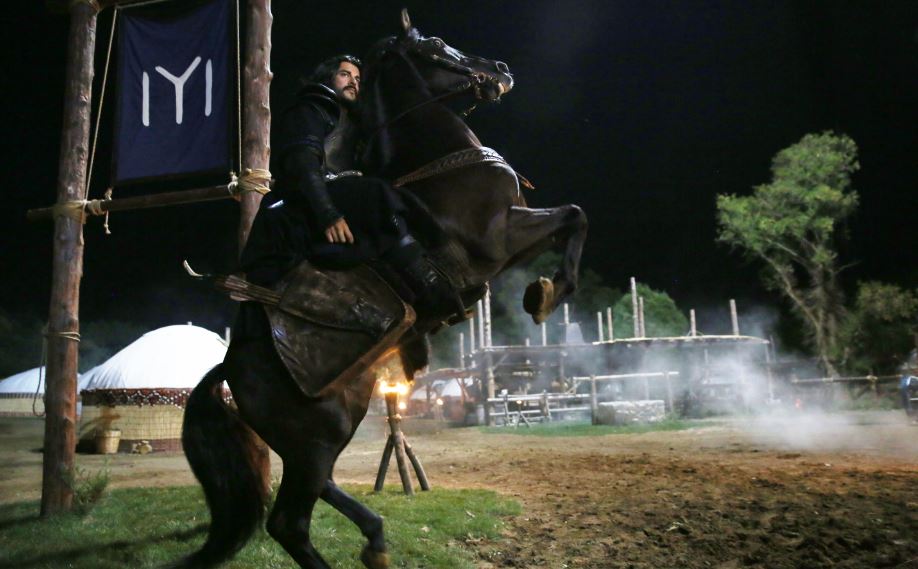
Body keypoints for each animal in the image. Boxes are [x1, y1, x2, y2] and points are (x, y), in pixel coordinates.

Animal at [174, 10, 588, 568]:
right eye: (436, 43)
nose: (499, 70)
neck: (439, 160)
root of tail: (231, 369)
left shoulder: (511, 241)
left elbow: (571, 220)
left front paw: (543, 291)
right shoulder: (499, 236)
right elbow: (574, 215)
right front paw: (547, 293)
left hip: (338, 418)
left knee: (318, 489)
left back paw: (375, 535)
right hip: (320, 434)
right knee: (289, 521)